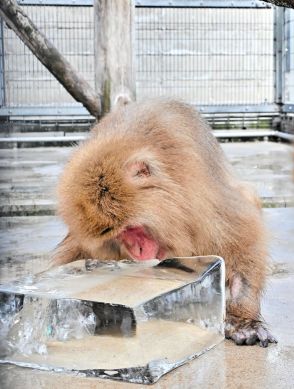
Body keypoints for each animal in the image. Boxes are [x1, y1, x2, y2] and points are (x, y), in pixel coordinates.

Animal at [54, 97, 276, 346]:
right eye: (117, 236)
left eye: (131, 228)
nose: (138, 250)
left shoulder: (204, 200)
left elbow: (242, 234)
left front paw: (242, 320)